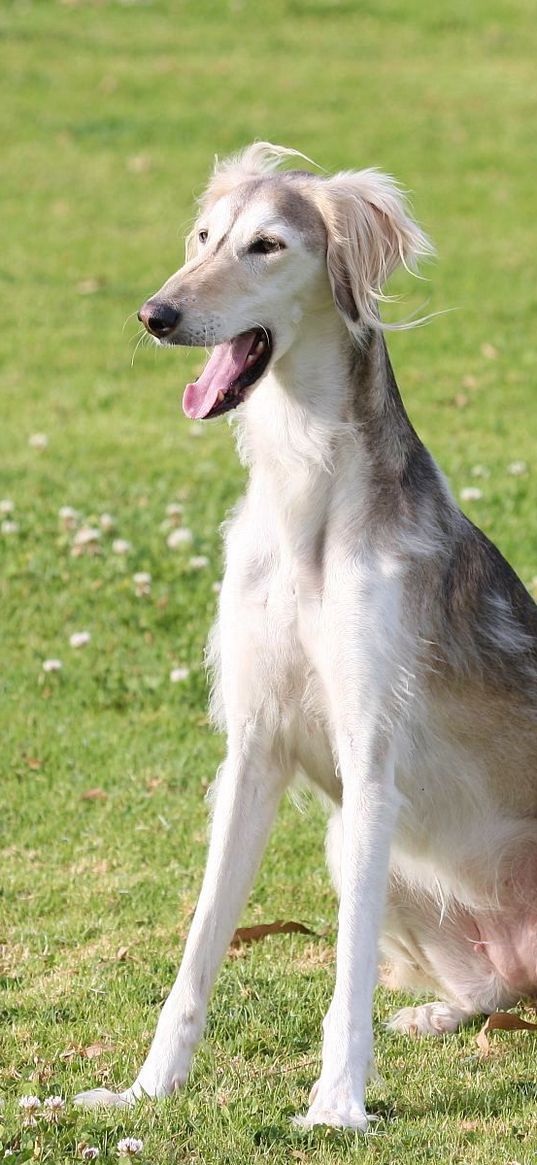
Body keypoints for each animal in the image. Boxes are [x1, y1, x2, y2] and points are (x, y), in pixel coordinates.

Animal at [76, 140, 535, 1123]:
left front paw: (336, 1104)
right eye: (203, 236)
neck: (306, 501)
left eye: (266, 245)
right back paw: (440, 1013)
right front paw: (146, 1088)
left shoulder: (368, 760)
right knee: (494, 991)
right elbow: (198, 949)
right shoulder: (252, 751)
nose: (156, 314)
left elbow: (346, 972)